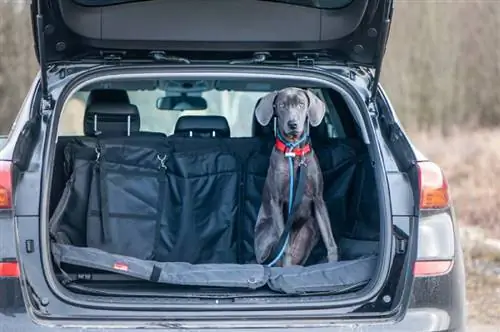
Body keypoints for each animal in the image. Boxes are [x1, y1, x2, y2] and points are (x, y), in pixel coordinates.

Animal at [254, 87, 340, 266]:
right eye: (281, 105)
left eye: (301, 104)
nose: (292, 124)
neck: (294, 152)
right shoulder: (276, 202)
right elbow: (284, 247)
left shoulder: (318, 199)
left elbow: (330, 240)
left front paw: (334, 262)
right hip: (269, 231)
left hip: (312, 226)